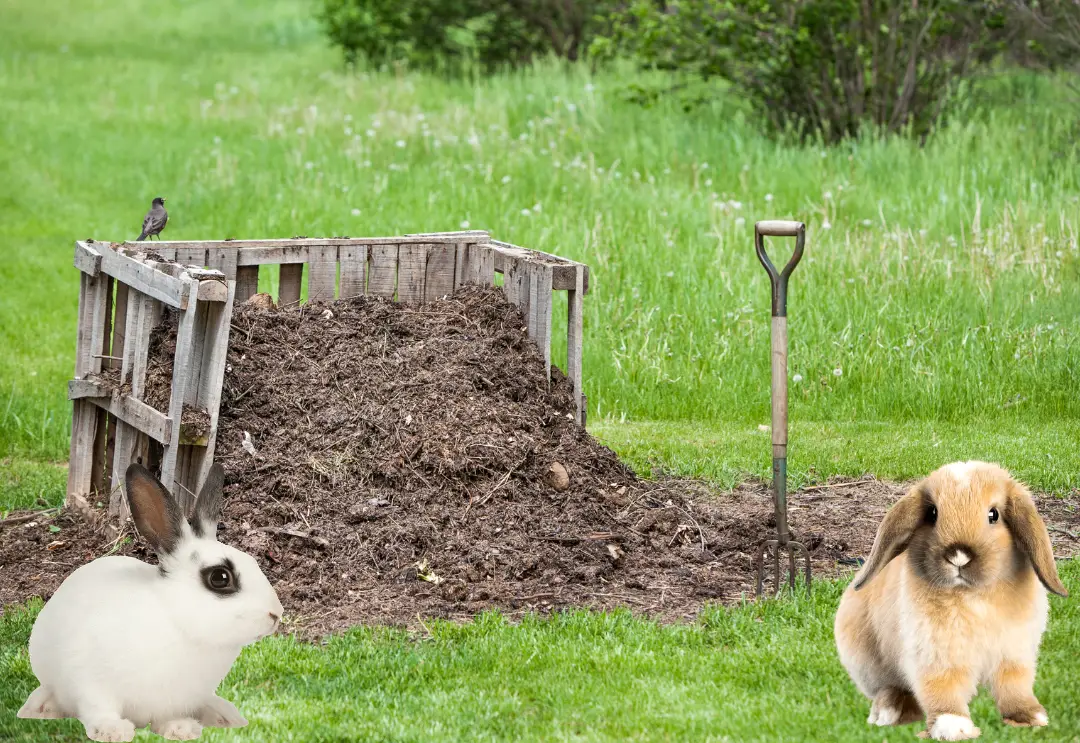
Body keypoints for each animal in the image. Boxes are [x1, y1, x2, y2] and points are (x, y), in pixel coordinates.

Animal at [17, 462, 284, 741]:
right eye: (220, 577)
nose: (276, 614)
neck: (177, 623)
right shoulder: (90, 683)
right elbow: (98, 709)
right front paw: (113, 731)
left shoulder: (176, 700)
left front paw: (180, 729)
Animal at [834, 461, 1068, 741]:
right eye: (933, 513)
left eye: (994, 515)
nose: (958, 555)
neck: (973, 595)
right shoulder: (935, 656)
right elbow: (942, 690)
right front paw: (954, 726)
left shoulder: (1014, 654)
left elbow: (1014, 686)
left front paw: (1030, 717)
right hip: (868, 664)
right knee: (891, 688)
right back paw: (889, 712)